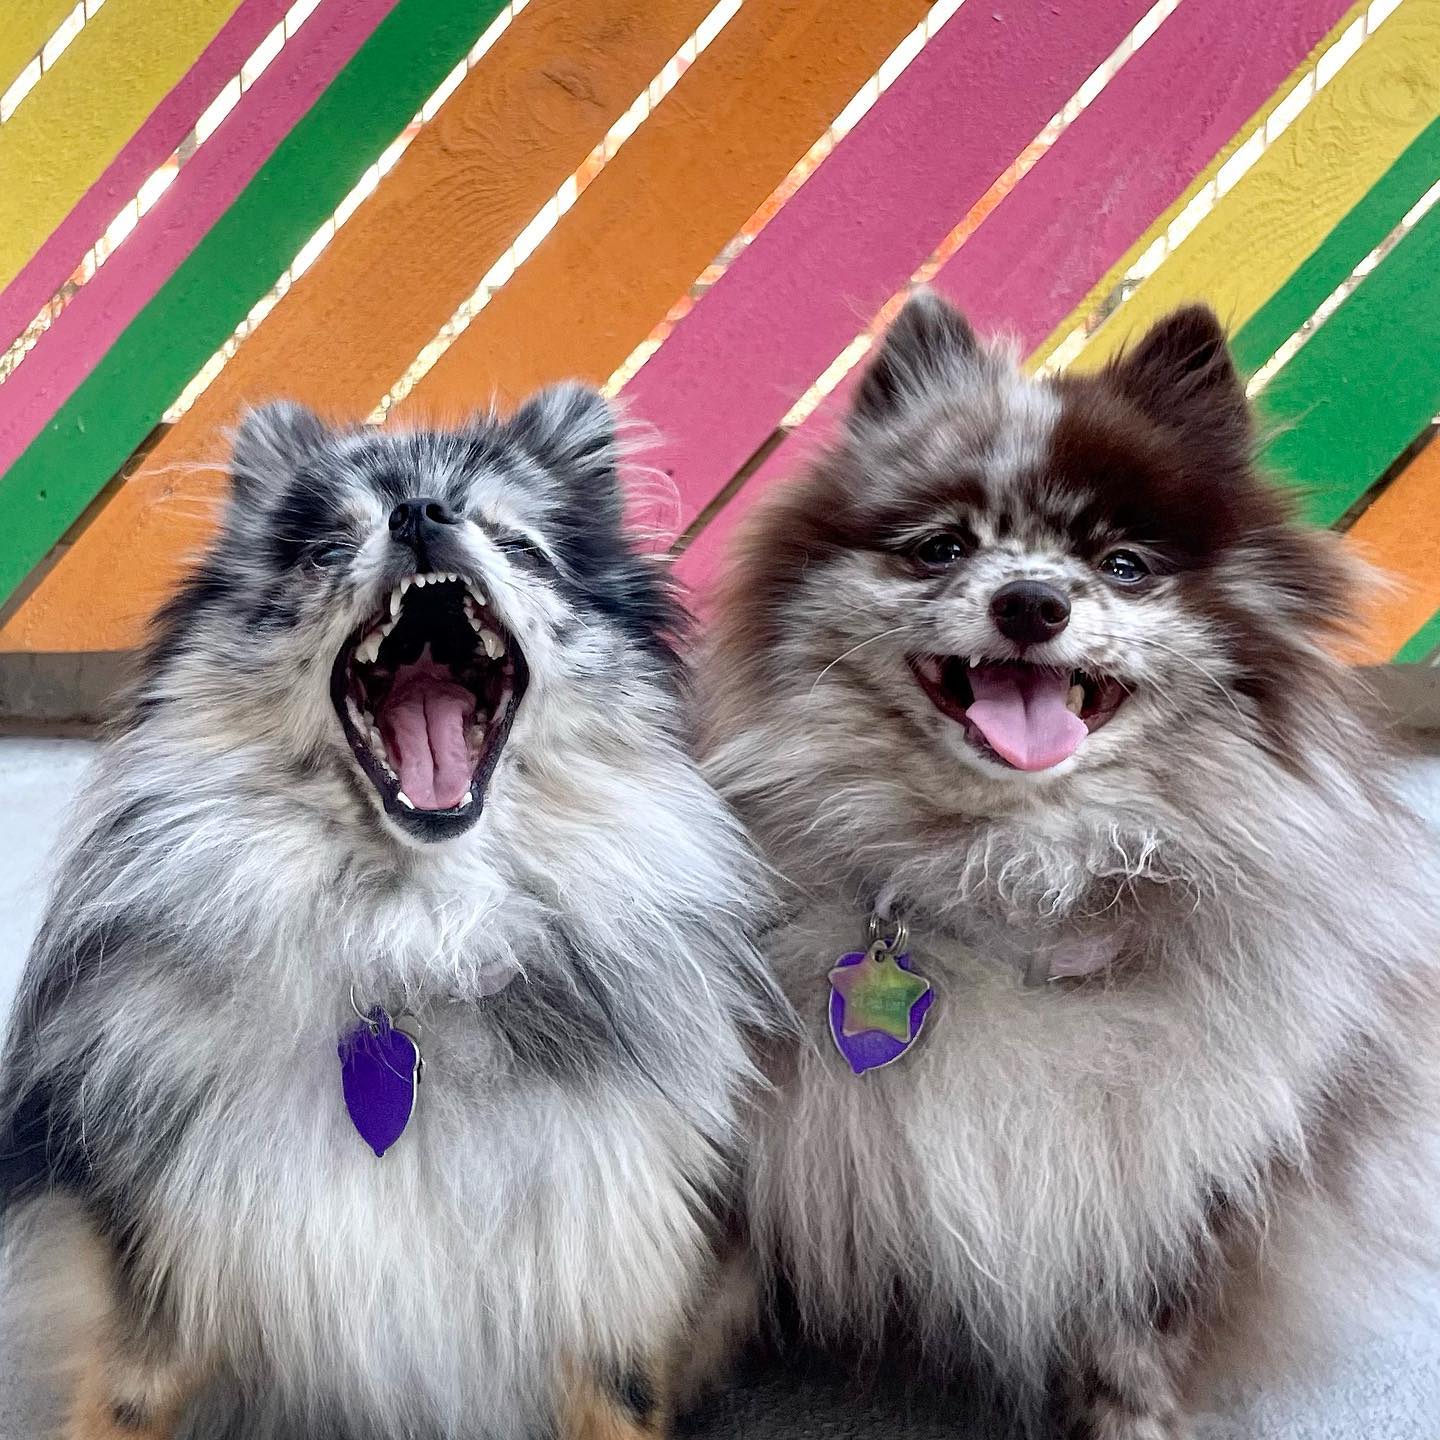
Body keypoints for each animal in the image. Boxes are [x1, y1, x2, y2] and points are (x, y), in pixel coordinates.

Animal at [0, 388, 783, 1440]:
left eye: (519, 542)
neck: (418, 935)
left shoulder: (601, 1283)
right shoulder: (169, 1286)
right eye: (328, 546)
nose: (420, 514)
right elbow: (125, 1400)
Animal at [696, 295, 1440, 1440]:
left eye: (1124, 565)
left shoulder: (1166, 1180)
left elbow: (1130, 1357)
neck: (1015, 871)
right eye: (941, 549)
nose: (1033, 601)